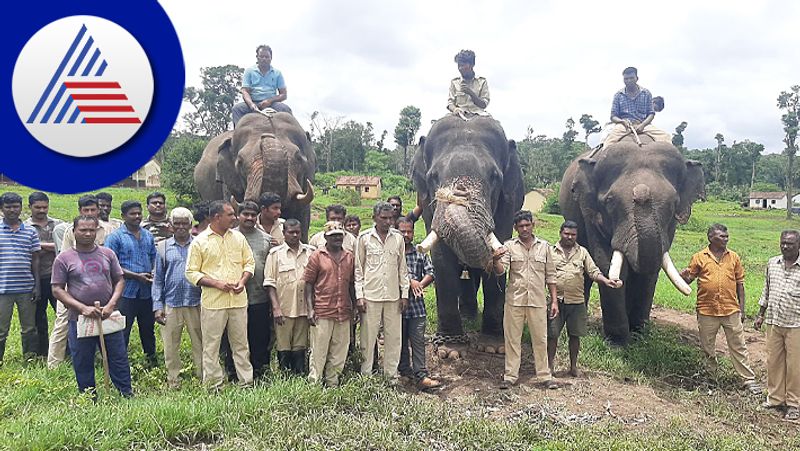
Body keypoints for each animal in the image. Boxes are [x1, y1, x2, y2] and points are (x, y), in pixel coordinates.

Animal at [412, 115, 524, 360]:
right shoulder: (426, 204)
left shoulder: (508, 200)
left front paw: (493, 347)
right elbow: (441, 257)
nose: (459, 193)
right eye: (433, 177)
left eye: (494, 177)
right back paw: (467, 316)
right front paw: (450, 351)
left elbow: (500, 242)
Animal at [560, 136, 704, 344]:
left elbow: (651, 270)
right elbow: (606, 262)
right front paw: (618, 342)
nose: (641, 193)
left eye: (673, 203)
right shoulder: (590, 212)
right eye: (610, 201)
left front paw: (638, 334)